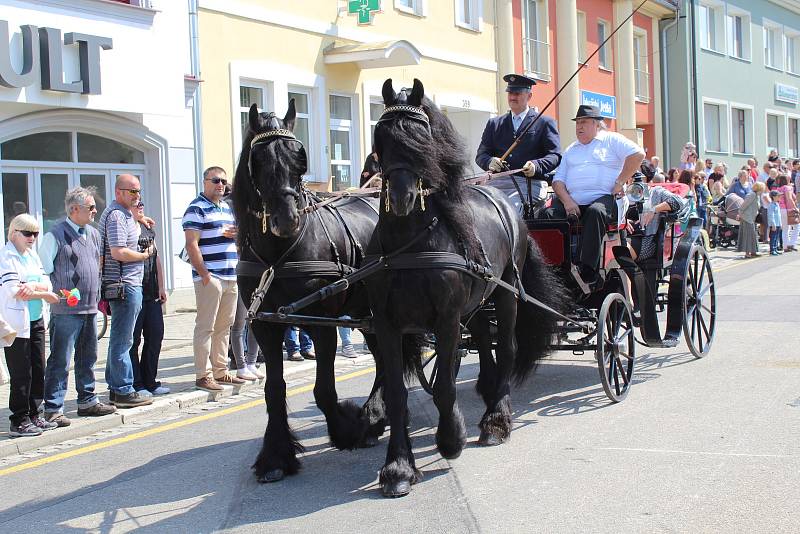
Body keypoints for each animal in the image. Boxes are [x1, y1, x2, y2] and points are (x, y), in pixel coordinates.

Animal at [231, 101, 412, 486]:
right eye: (259, 160)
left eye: (299, 158)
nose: (287, 220)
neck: (278, 256)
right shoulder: (264, 326)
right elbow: (274, 390)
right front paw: (275, 457)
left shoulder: (322, 324)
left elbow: (324, 390)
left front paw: (348, 430)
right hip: (367, 315)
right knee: (384, 360)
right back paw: (377, 416)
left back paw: (372, 418)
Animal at [366, 79, 564, 498]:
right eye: (382, 136)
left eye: (422, 136)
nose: (403, 198)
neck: (409, 243)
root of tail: (507, 202)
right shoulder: (387, 324)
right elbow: (397, 394)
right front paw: (398, 467)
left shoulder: (445, 320)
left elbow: (443, 386)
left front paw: (450, 439)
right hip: (476, 305)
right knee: (486, 342)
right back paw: (489, 393)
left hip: (506, 295)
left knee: (506, 349)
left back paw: (496, 421)